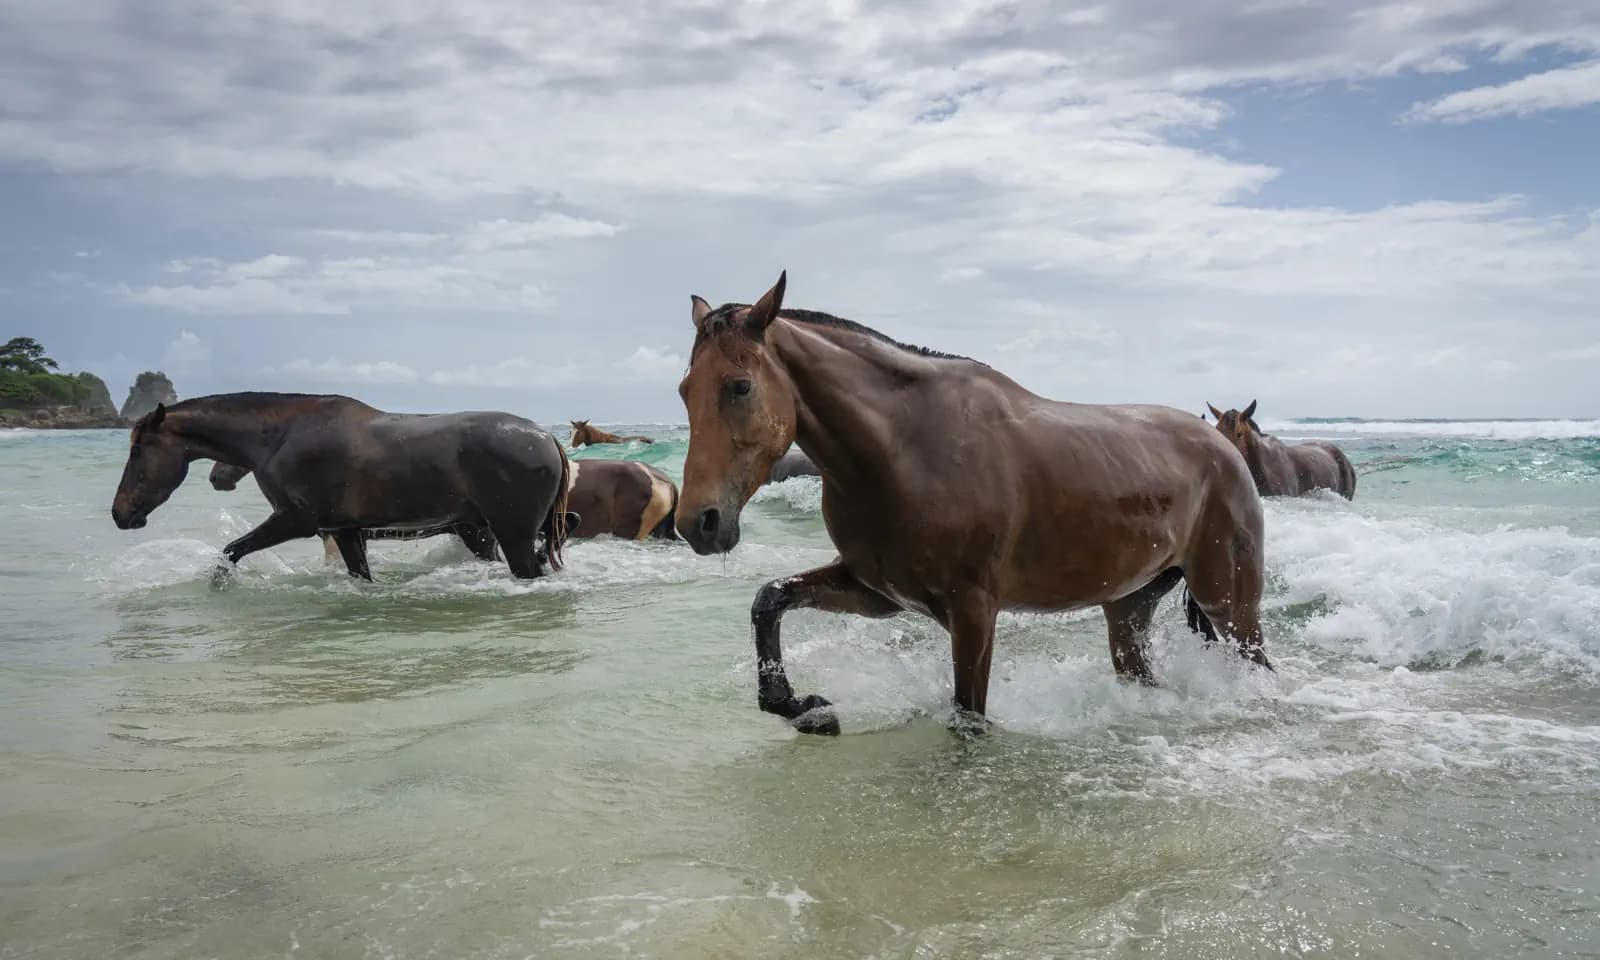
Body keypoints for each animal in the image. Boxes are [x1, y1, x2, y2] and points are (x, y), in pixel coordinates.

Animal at [111, 393, 573, 581]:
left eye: (137, 451)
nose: (120, 514)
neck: (279, 436)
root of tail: (548, 439)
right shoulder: (345, 532)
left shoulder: (295, 521)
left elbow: (229, 553)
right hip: (481, 531)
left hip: (511, 534)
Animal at [676, 271, 1272, 737]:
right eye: (685, 390)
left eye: (739, 386)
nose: (699, 524)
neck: (905, 449)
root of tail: (1223, 447)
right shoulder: (877, 592)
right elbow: (770, 599)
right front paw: (804, 707)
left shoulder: (973, 612)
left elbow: (968, 718)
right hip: (1129, 608)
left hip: (1230, 605)